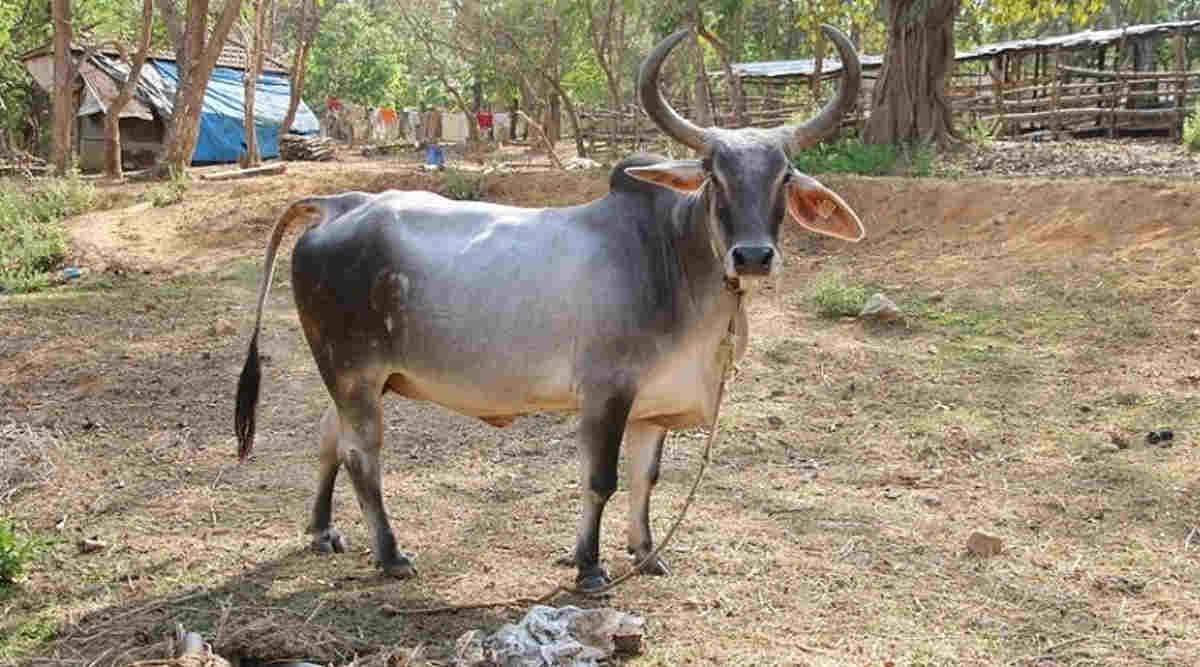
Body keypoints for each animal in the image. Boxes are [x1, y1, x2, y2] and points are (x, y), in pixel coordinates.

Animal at [235, 25, 865, 592]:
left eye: (784, 177)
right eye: (715, 176)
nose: (753, 256)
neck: (675, 265)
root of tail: (339, 204)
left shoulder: (653, 406)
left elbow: (646, 479)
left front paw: (646, 553)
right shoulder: (606, 393)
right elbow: (602, 480)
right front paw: (589, 566)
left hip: (353, 378)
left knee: (329, 438)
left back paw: (321, 530)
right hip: (354, 373)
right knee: (362, 457)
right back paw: (390, 555)